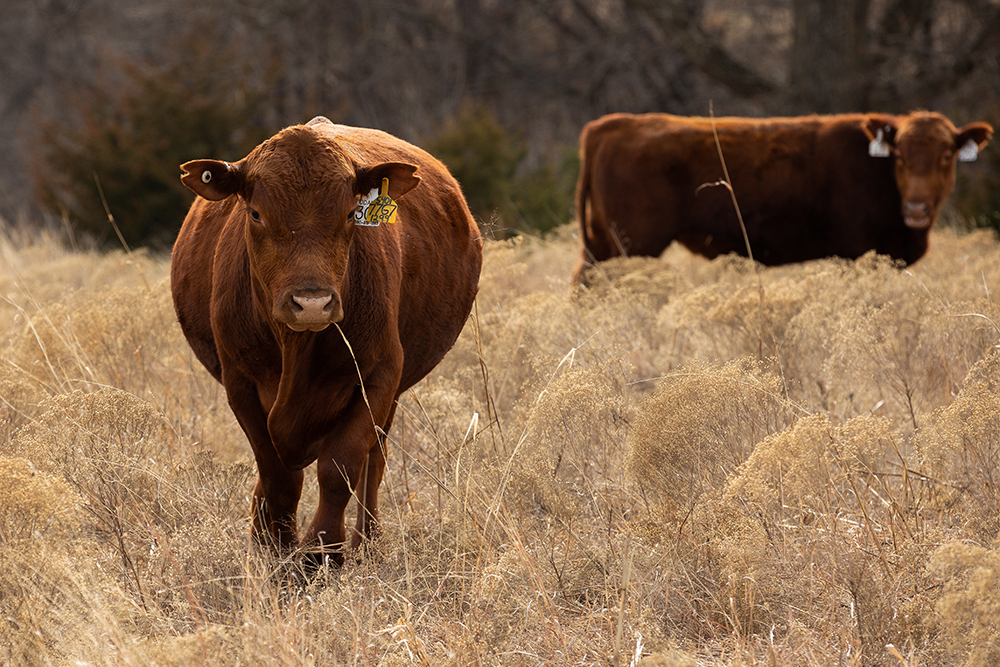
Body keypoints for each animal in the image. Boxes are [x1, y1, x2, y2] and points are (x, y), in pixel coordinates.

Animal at [170, 117, 482, 568]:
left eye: (351, 213)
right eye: (256, 213)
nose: (312, 302)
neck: (297, 348)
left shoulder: (379, 375)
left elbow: (341, 468)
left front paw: (320, 552)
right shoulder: (239, 382)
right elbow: (278, 476)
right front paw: (276, 549)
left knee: (373, 462)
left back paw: (367, 543)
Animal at [572, 111, 992, 284]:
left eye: (946, 155)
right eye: (900, 155)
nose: (916, 208)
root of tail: (610, 125)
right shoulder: (857, 255)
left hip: (603, 243)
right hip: (631, 245)